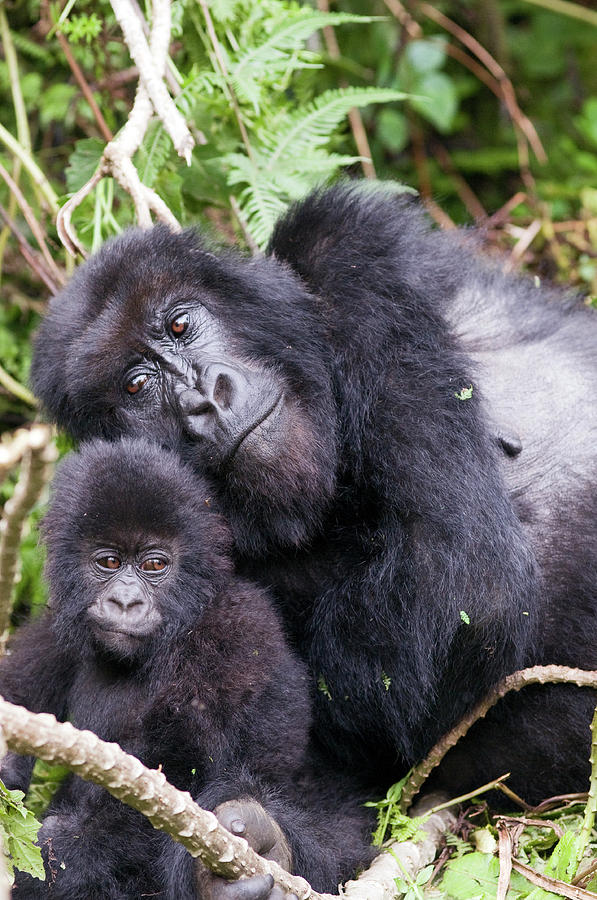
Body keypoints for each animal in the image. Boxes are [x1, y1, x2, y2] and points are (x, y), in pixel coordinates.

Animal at [1, 442, 372, 900]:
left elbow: (179, 780)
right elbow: (18, 694)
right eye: (109, 560)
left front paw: (61, 856)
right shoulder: (57, 626)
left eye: (154, 566)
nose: (126, 602)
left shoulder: (233, 630)